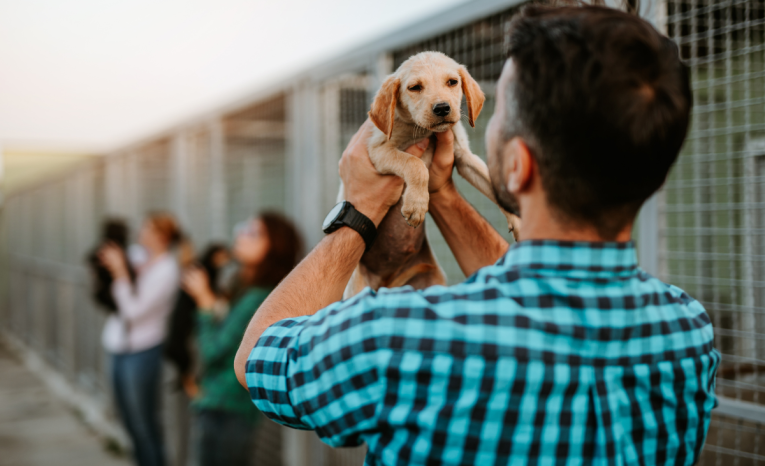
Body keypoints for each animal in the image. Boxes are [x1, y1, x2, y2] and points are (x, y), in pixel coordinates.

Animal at [344, 52, 524, 298]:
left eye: (452, 82)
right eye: (415, 87)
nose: (442, 108)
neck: (425, 132)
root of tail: (387, 284)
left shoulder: (464, 157)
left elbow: (492, 183)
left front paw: (518, 220)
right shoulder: (378, 151)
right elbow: (416, 164)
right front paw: (417, 204)